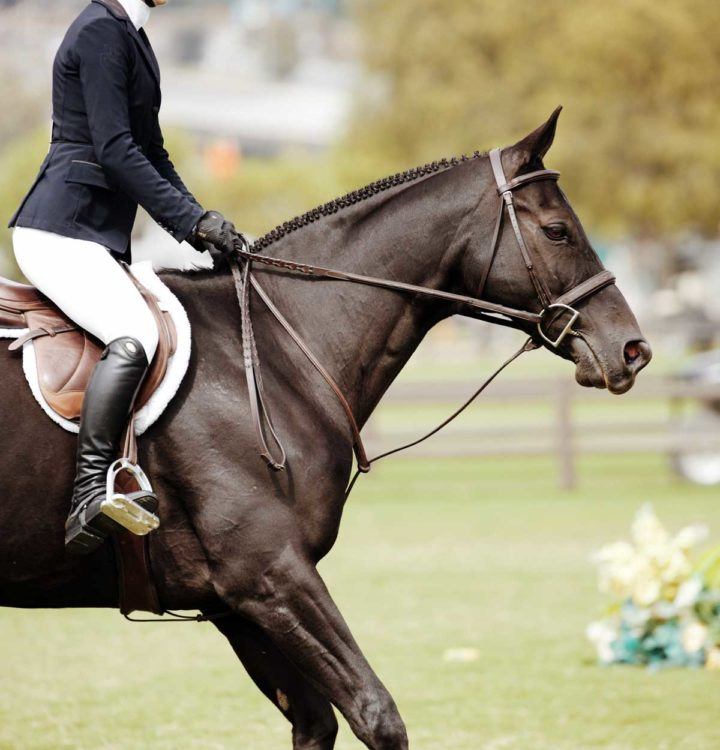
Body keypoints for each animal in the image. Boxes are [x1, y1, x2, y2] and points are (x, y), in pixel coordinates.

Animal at [0, 110, 651, 749]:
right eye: (558, 231)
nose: (633, 350)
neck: (269, 351)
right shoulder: (269, 573)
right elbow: (377, 715)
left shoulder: (234, 602)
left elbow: (316, 722)